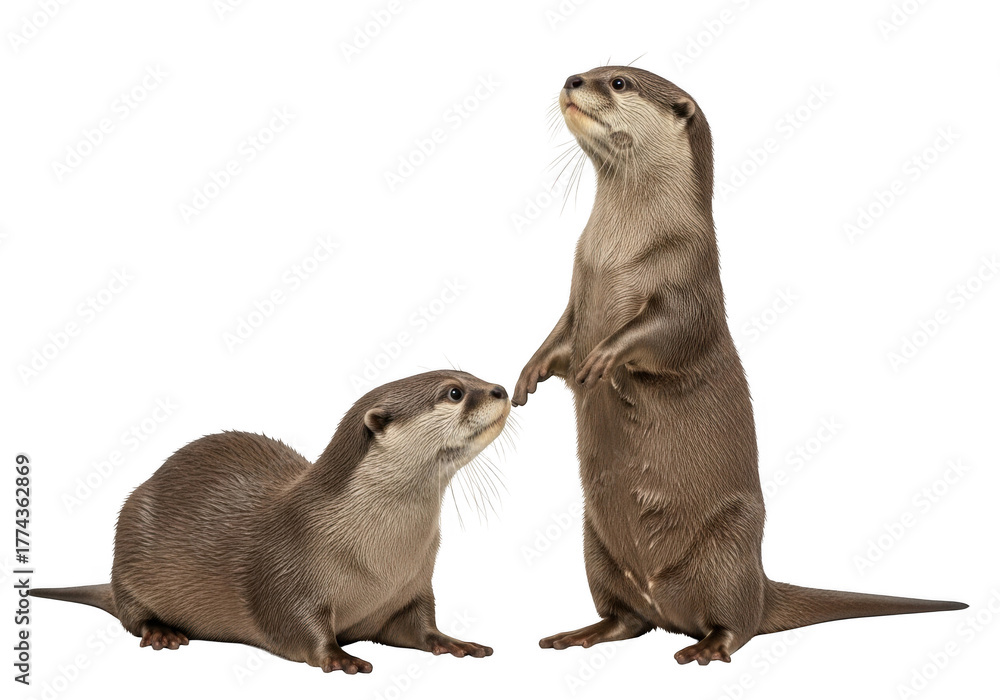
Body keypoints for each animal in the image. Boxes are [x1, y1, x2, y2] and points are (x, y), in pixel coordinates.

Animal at [32, 370, 509, 674]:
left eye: (471, 373)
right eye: (454, 392)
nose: (501, 389)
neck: (380, 560)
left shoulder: (412, 585)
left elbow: (420, 624)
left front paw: (455, 642)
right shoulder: (286, 568)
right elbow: (294, 624)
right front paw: (339, 658)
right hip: (129, 535)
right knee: (131, 613)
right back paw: (162, 631)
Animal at [512, 67, 965, 665]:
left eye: (618, 81)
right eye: (592, 71)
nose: (573, 78)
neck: (618, 255)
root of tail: (761, 583)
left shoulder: (691, 282)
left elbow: (664, 334)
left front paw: (605, 356)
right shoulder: (577, 290)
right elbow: (560, 340)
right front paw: (529, 373)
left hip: (726, 549)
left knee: (738, 624)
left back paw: (705, 647)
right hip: (595, 549)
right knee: (627, 619)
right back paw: (582, 633)